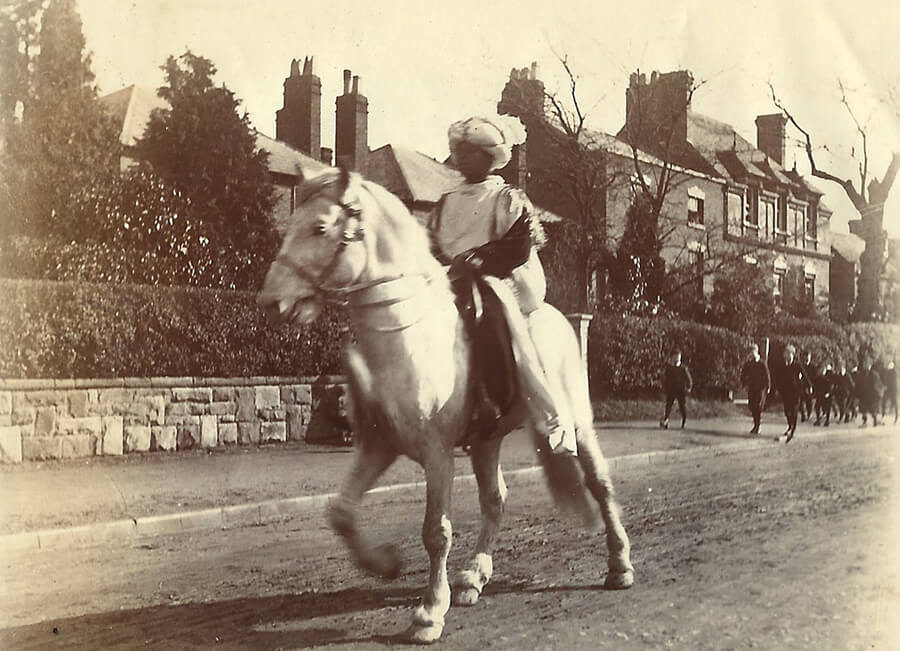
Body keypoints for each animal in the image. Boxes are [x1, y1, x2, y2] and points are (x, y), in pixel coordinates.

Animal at [256, 168, 628, 648]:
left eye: (319, 228)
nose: (271, 302)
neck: (407, 337)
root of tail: (557, 317)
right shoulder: (379, 446)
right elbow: (341, 513)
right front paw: (385, 564)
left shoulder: (437, 453)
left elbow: (436, 531)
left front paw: (429, 613)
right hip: (487, 441)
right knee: (495, 499)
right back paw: (474, 577)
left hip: (577, 422)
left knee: (599, 484)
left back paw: (620, 565)